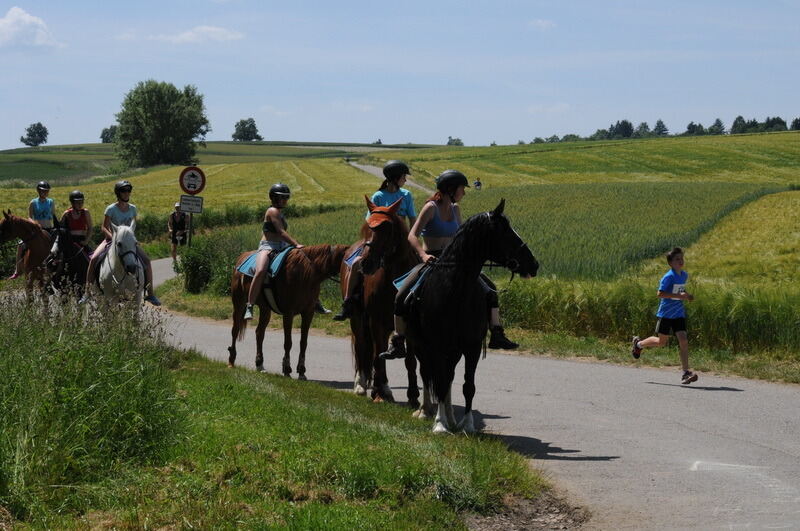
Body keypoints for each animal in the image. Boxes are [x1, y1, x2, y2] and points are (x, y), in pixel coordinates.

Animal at [227, 244, 348, 378]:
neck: (306, 273)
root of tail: (241, 258)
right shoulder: (288, 314)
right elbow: (288, 342)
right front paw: (287, 369)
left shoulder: (308, 313)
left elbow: (303, 342)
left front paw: (301, 370)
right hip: (239, 304)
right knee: (235, 330)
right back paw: (231, 361)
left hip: (265, 310)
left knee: (259, 333)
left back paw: (260, 364)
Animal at [342, 198, 422, 404]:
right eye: (368, 226)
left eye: (386, 228)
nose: (366, 263)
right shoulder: (376, 321)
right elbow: (377, 356)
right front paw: (378, 393)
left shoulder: (408, 325)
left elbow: (410, 361)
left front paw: (413, 396)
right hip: (358, 320)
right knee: (362, 347)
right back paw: (362, 385)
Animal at [406, 200, 536, 432]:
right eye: (506, 232)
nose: (534, 264)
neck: (455, 291)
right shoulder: (436, 346)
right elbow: (438, 381)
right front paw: (439, 424)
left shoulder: (471, 347)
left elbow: (468, 385)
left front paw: (467, 424)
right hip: (421, 347)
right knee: (428, 375)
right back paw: (426, 411)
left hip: (454, 351)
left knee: (448, 378)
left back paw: (451, 418)